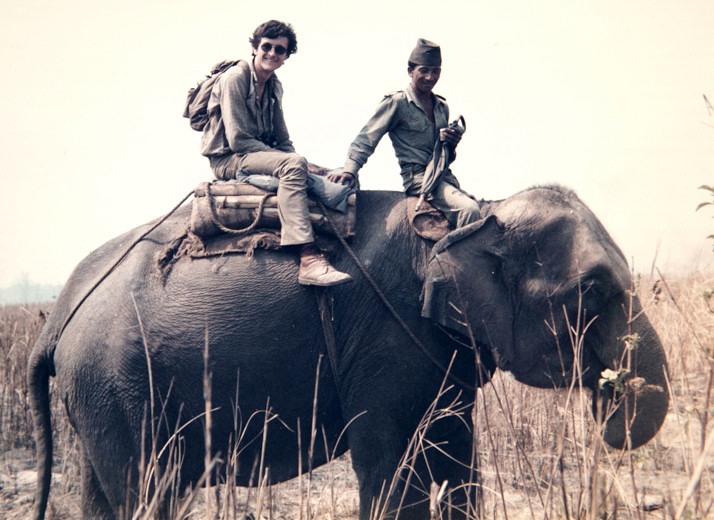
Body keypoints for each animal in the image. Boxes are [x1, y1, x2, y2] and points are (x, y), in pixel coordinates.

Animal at [29, 185, 669, 520]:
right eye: (592, 291)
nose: (607, 395)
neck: (472, 217)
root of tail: (56, 316)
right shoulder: (387, 341)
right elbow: (392, 469)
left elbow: (457, 460)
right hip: (116, 385)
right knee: (145, 491)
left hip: (101, 396)